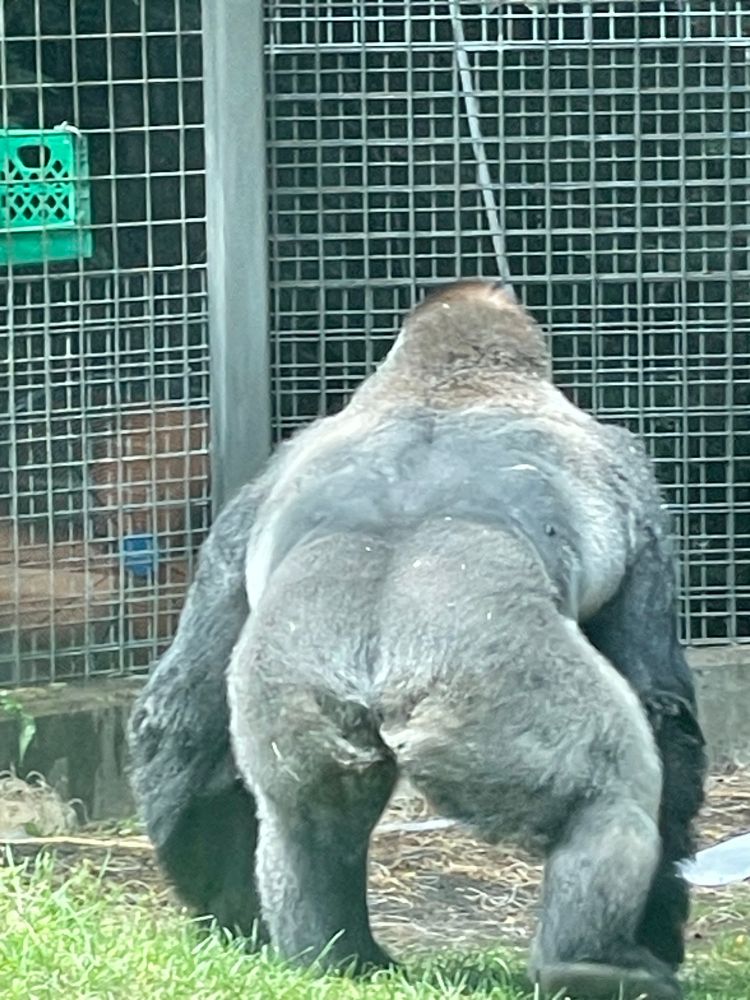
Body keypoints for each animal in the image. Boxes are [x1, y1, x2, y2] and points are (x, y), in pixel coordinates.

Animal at [129, 280, 705, 999]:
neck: (445, 383)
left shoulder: (249, 500)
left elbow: (180, 717)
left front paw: (223, 909)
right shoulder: (635, 483)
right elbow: (662, 708)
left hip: (295, 705)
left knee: (302, 824)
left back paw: (332, 956)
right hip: (491, 706)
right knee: (610, 794)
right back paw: (590, 963)